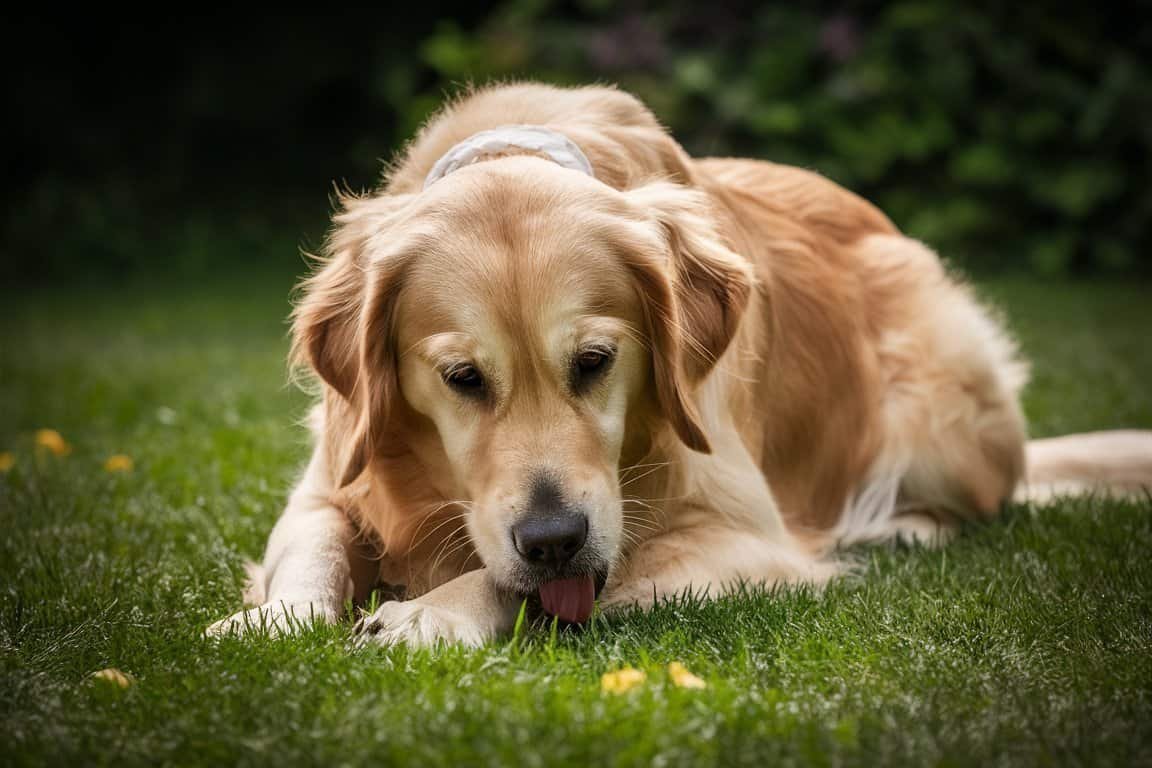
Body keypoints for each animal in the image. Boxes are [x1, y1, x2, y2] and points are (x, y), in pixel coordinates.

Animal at [207, 82, 1152, 649]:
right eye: (462, 379)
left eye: (595, 361)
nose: (552, 539)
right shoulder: (331, 476)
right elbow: (314, 550)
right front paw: (270, 623)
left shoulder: (742, 535)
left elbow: (562, 576)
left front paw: (432, 614)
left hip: (939, 385)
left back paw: (898, 523)